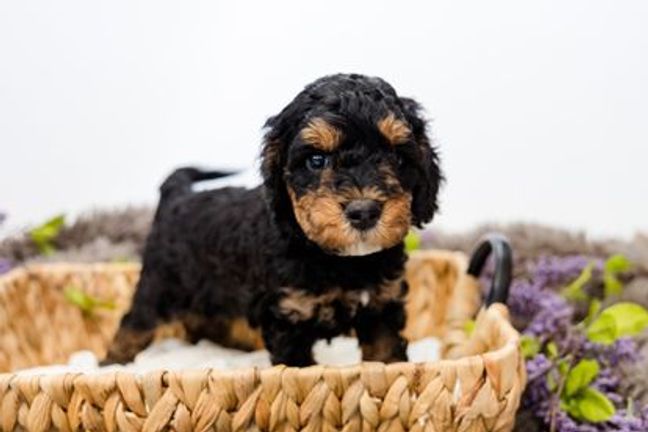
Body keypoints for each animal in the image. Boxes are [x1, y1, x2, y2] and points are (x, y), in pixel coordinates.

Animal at [103, 73, 442, 366]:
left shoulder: (381, 306)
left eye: (397, 157)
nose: (364, 211)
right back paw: (112, 363)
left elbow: (386, 357)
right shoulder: (287, 315)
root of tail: (178, 196)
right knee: (134, 323)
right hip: (160, 285)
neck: (339, 261)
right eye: (316, 160)